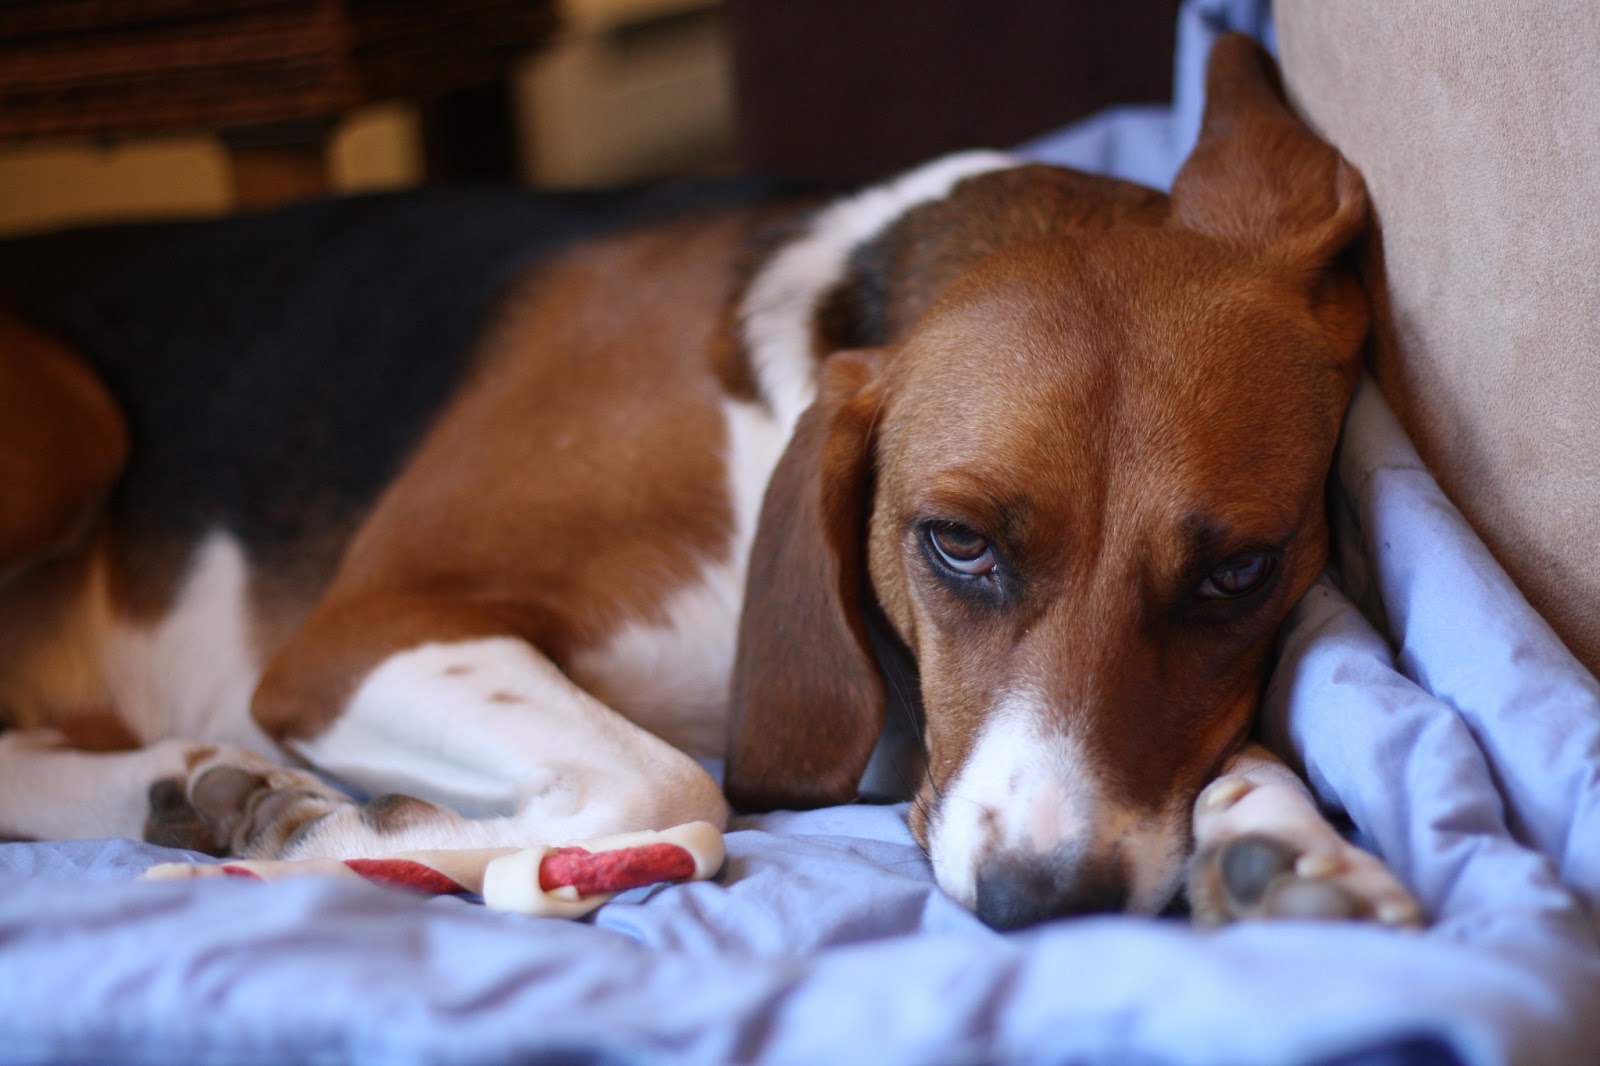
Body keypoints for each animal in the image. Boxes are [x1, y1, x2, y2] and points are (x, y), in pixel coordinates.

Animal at [0, 35, 1416, 930]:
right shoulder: (359, 632)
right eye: (956, 544)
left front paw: (1288, 844)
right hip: (71, 431)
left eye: (1240, 572)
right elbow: (676, 788)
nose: (1047, 903)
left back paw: (175, 786)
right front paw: (336, 852)